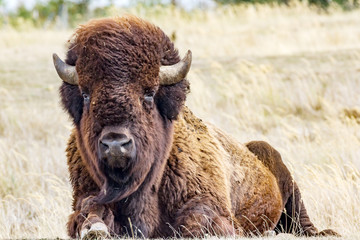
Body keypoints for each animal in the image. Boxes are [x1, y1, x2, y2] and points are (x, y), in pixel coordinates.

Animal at [52, 15, 338, 239]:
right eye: (86, 94)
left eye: (149, 93)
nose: (115, 144)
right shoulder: (88, 195)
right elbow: (90, 212)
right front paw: (94, 229)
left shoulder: (208, 203)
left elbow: (200, 221)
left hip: (290, 189)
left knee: (302, 223)